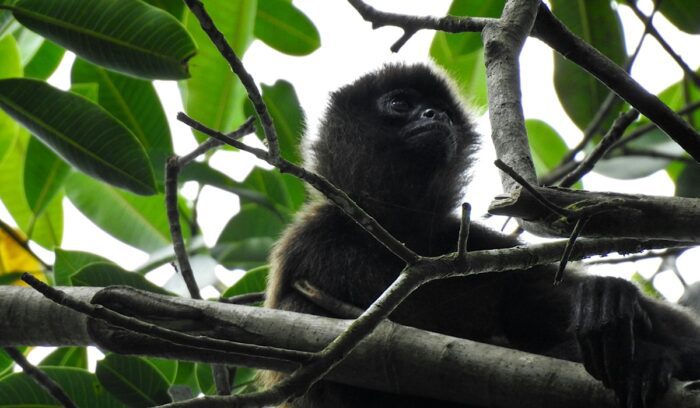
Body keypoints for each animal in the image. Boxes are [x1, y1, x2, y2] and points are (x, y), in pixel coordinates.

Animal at [263, 63, 700, 408]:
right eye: (400, 104)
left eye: (443, 112)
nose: (434, 114)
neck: (398, 235)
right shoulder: (314, 240)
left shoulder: (471, 240)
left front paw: (611, 302)